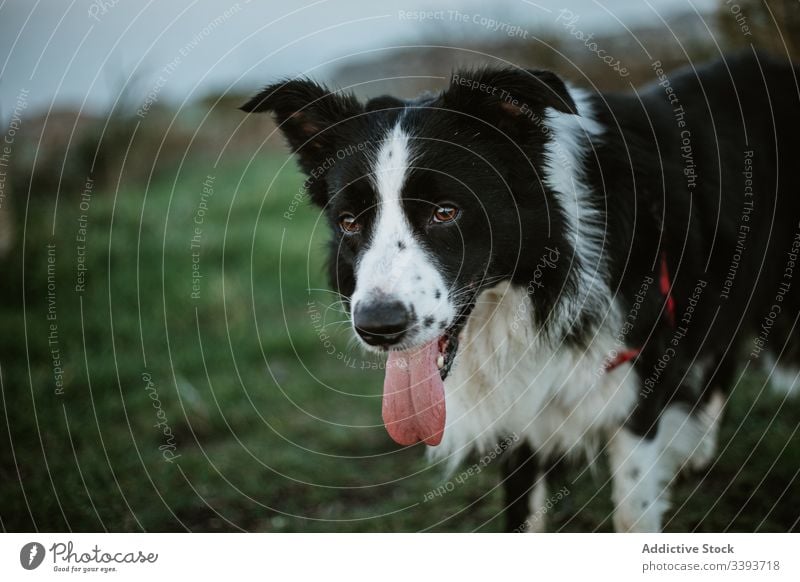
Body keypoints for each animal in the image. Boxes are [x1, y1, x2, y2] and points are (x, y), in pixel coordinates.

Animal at [244, 52, 800, 536]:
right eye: (349, 222)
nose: (378, 328)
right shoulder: (518, 402)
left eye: (446, 212)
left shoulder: (639, 377)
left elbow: (631, 513)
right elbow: (522, 512)